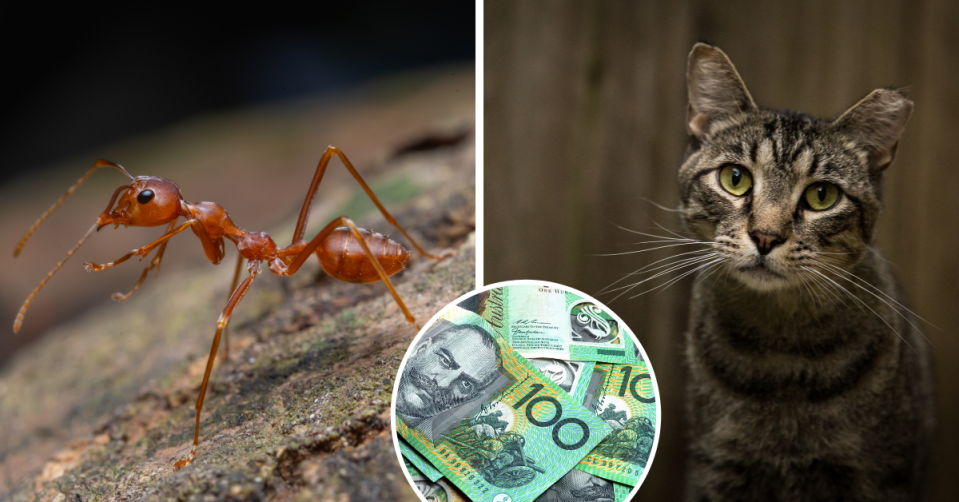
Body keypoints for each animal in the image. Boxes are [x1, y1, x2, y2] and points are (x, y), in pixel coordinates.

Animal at [680, 44, 932, 502]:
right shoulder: (715, 468)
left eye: (822, 195)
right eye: (735, 178)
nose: (766, 236)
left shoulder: (879, 474)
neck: (780, 350)